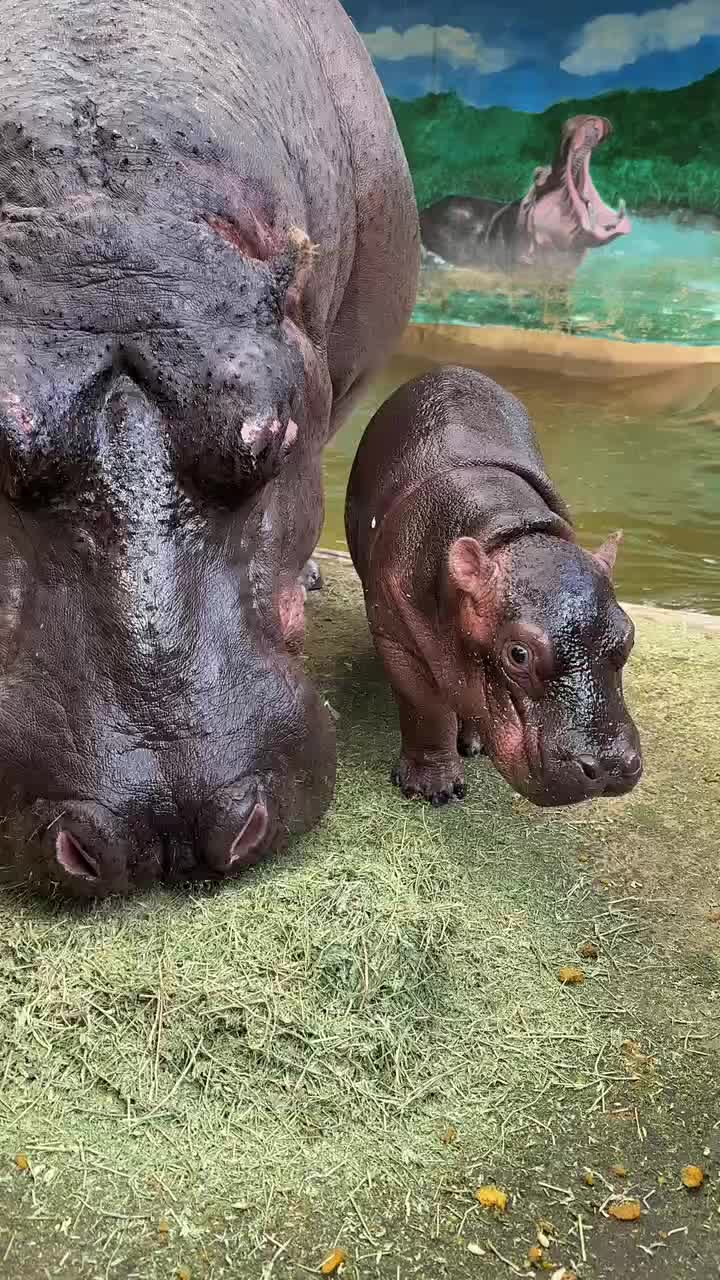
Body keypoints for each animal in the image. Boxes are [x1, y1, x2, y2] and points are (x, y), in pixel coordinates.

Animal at [345, 367, 643, 808]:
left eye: (629, 636)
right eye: (518, 654)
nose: (609, 766)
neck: (507, 529)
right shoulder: (394, 636)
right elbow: (425, 709)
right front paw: (433, 790)